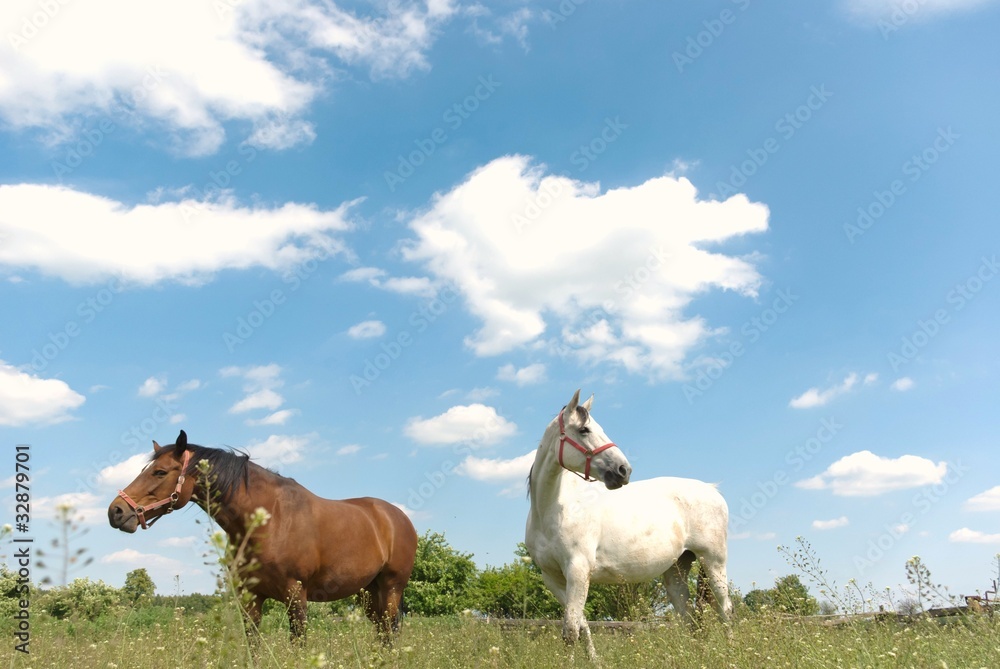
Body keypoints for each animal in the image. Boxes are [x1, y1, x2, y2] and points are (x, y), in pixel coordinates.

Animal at [108, 430, 417, 641]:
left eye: (160, 472)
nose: (116, 512)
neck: (270, 519)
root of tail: (397, 517)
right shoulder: (250, 598)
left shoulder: (296, 596)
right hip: (369, 593)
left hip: (391, 589)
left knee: (390, 633)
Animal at [525, 390, 732, 661]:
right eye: (584, 430)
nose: (623, 470)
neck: (554, 508)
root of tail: (712, 490)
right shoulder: (554, 579)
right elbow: (581, 625)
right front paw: (594, 661)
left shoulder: (578, 571)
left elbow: (570, 631)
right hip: (676, 571)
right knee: (690, 619)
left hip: (713, 562)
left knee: (725, 609)